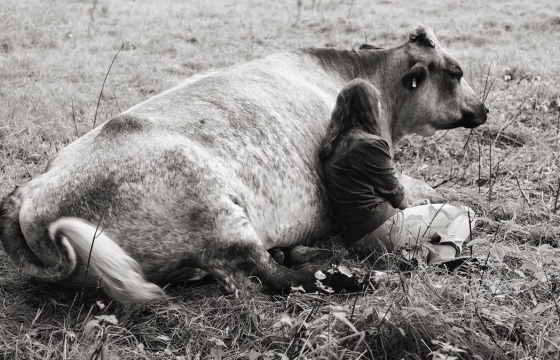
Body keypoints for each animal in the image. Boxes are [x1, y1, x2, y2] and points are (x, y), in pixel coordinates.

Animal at [0, 25, 488, 302]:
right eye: (457, 72)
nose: (483, 109)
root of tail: (31, 193)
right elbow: (427, 190)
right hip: (218, 211)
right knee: (271, 276)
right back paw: (356, 276)